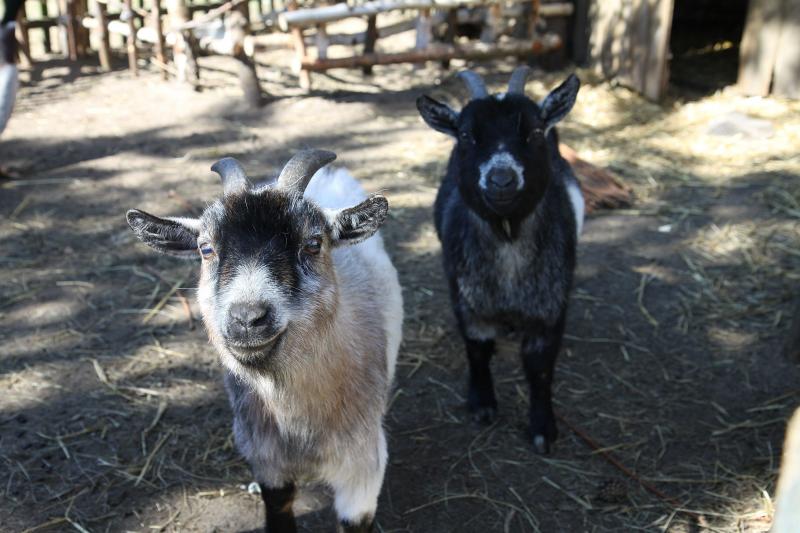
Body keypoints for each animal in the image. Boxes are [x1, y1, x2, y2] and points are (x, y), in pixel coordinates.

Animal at [418, 64, 580, 450]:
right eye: (465, 135)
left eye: (534, 131)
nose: (502, 179)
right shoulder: (466, 299)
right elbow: (477, 350)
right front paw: (481, 405)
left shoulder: (551, 306)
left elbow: (539, 366)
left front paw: (542, 428)